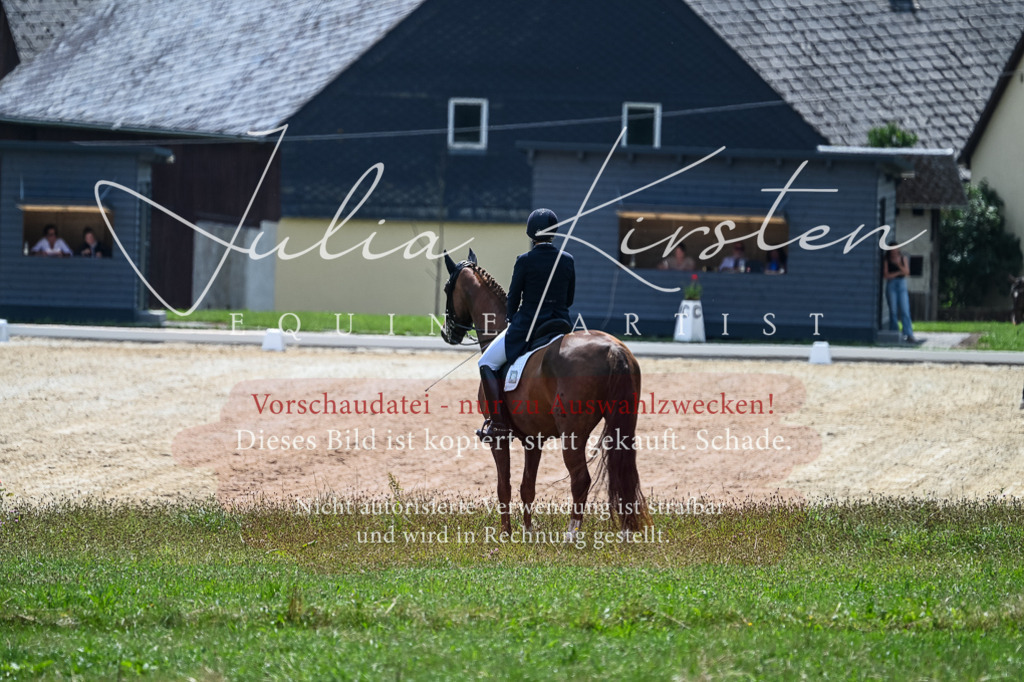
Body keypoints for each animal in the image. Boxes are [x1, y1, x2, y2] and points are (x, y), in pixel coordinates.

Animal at [440, 248, 651, 537]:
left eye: (447, 288)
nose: (446, 333)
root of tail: (613, 349)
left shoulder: (499, 438)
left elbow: (504, 486)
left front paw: (505, 534)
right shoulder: (533, 438)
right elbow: (527, 486)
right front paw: (528, 532)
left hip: (572, 433)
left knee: (580, 479)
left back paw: (571, 534)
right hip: (621, 424)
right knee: (625, 474)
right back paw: (626, 532)